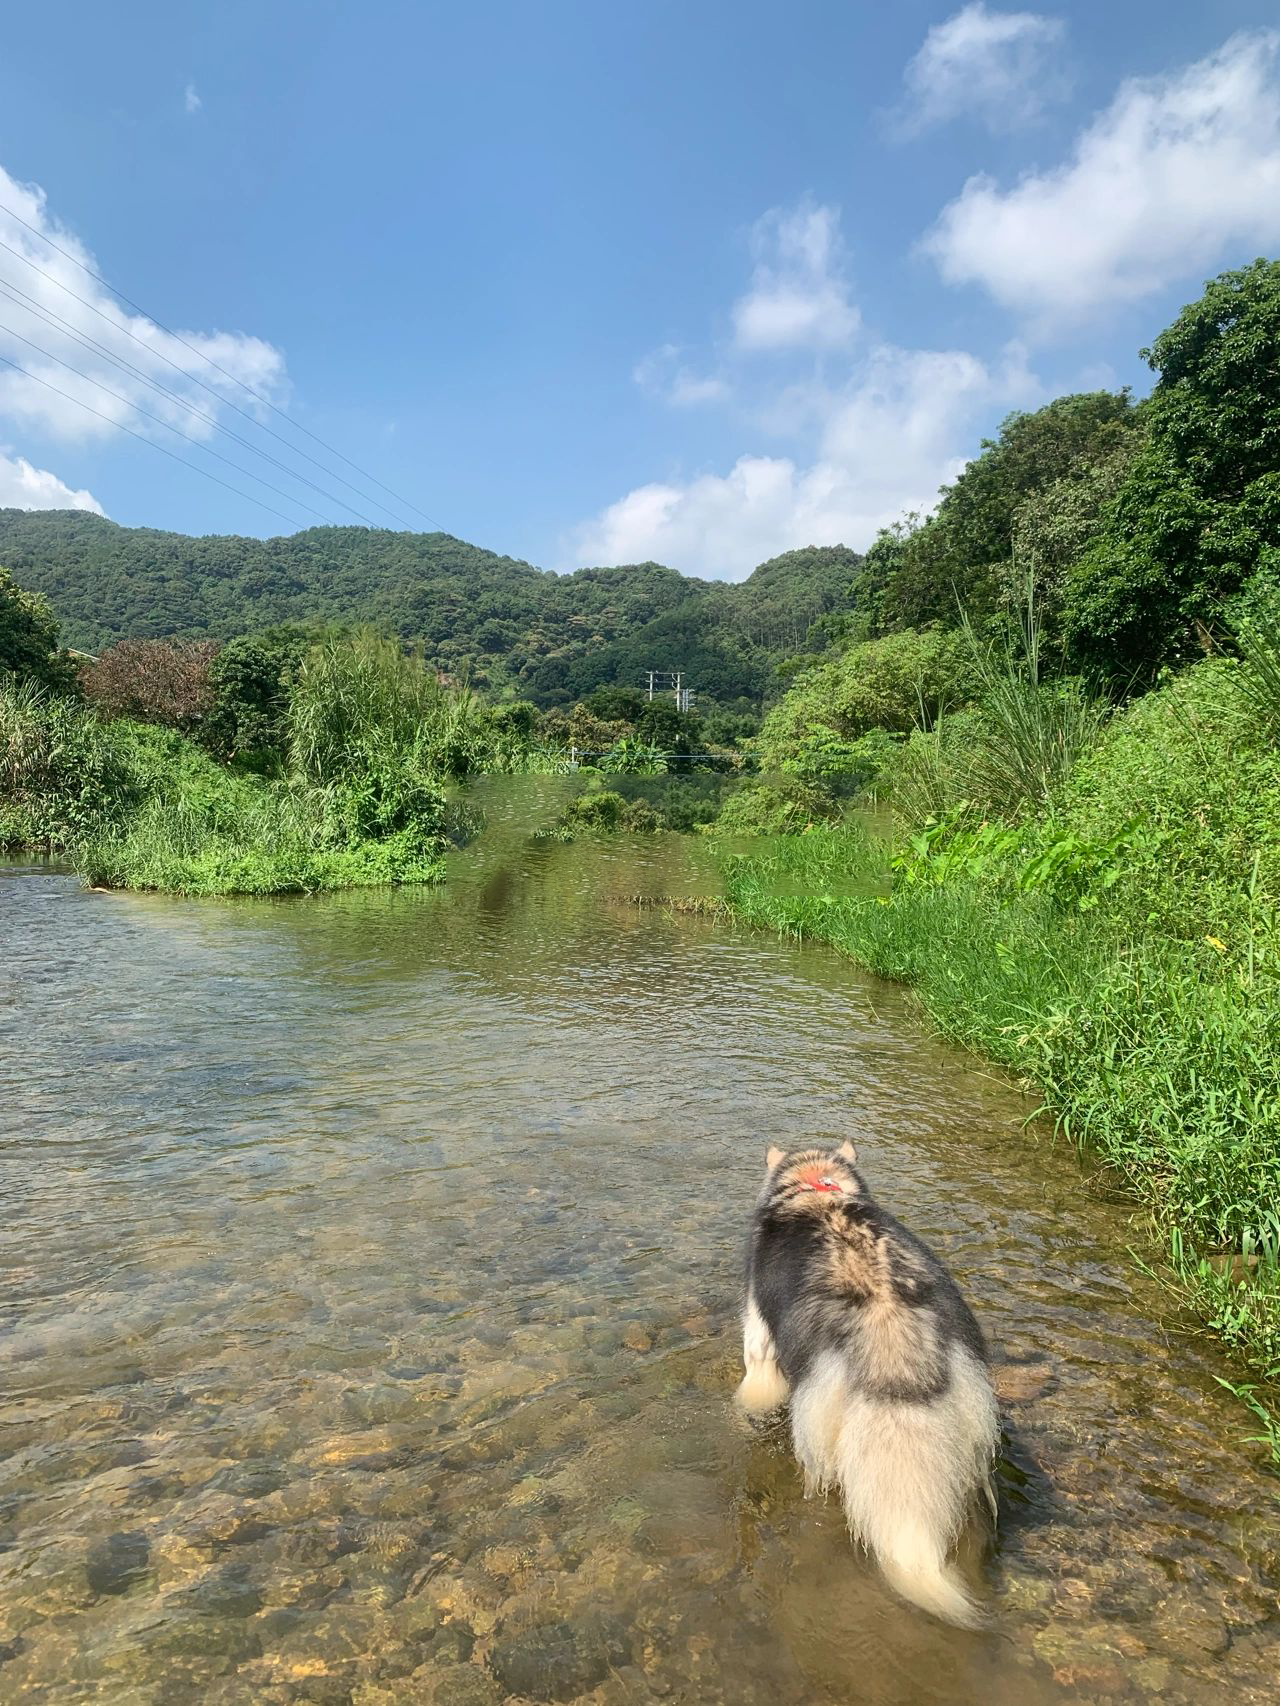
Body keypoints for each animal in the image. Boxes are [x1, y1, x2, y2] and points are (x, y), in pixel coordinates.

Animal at [740, 1139, 1003, 1617]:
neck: (815, 1185)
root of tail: (893, 1344)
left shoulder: (758, 1332)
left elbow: (757, 1379)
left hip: (816, 1428)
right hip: (974, 1429)